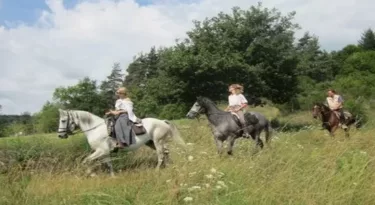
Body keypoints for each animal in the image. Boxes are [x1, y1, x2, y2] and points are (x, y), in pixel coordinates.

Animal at [57, 109, 187, 176]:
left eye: (63, 120)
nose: (60, 135)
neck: (95, 129)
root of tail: (162, 121)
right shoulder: (105, 153)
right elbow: (108, 164)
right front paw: (112, 177)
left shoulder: (101, 151)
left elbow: (85, 161)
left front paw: (91, 173)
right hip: (152, 143)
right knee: (166, 152)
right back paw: (168, 166)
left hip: (158, 142)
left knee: (161, 155)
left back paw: (157, 170)